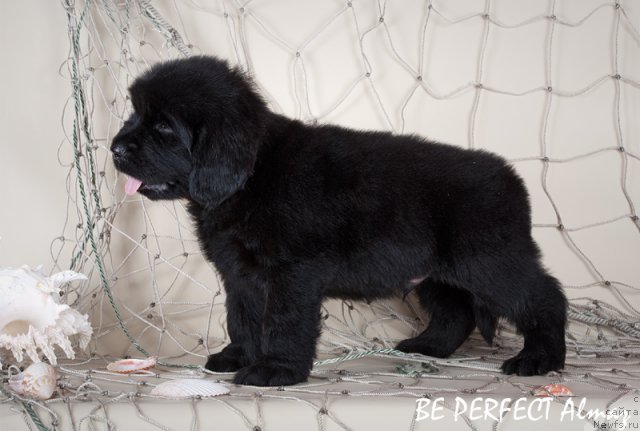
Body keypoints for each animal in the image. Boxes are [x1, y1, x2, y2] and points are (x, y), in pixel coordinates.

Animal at [112, 54, 568, 388]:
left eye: (163, 127)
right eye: (135, 115)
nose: (115, 149)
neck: (252, 175)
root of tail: (510, 178)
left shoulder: (292, 272)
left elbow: (282, 322)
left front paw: (275, 369)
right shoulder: (240, 272)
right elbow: (242, 317)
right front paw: (238, 356)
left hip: (490, 263)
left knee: (544, 297)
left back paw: (539, 358)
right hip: (437, 272)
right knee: (456, 311)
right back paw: (429, 346)